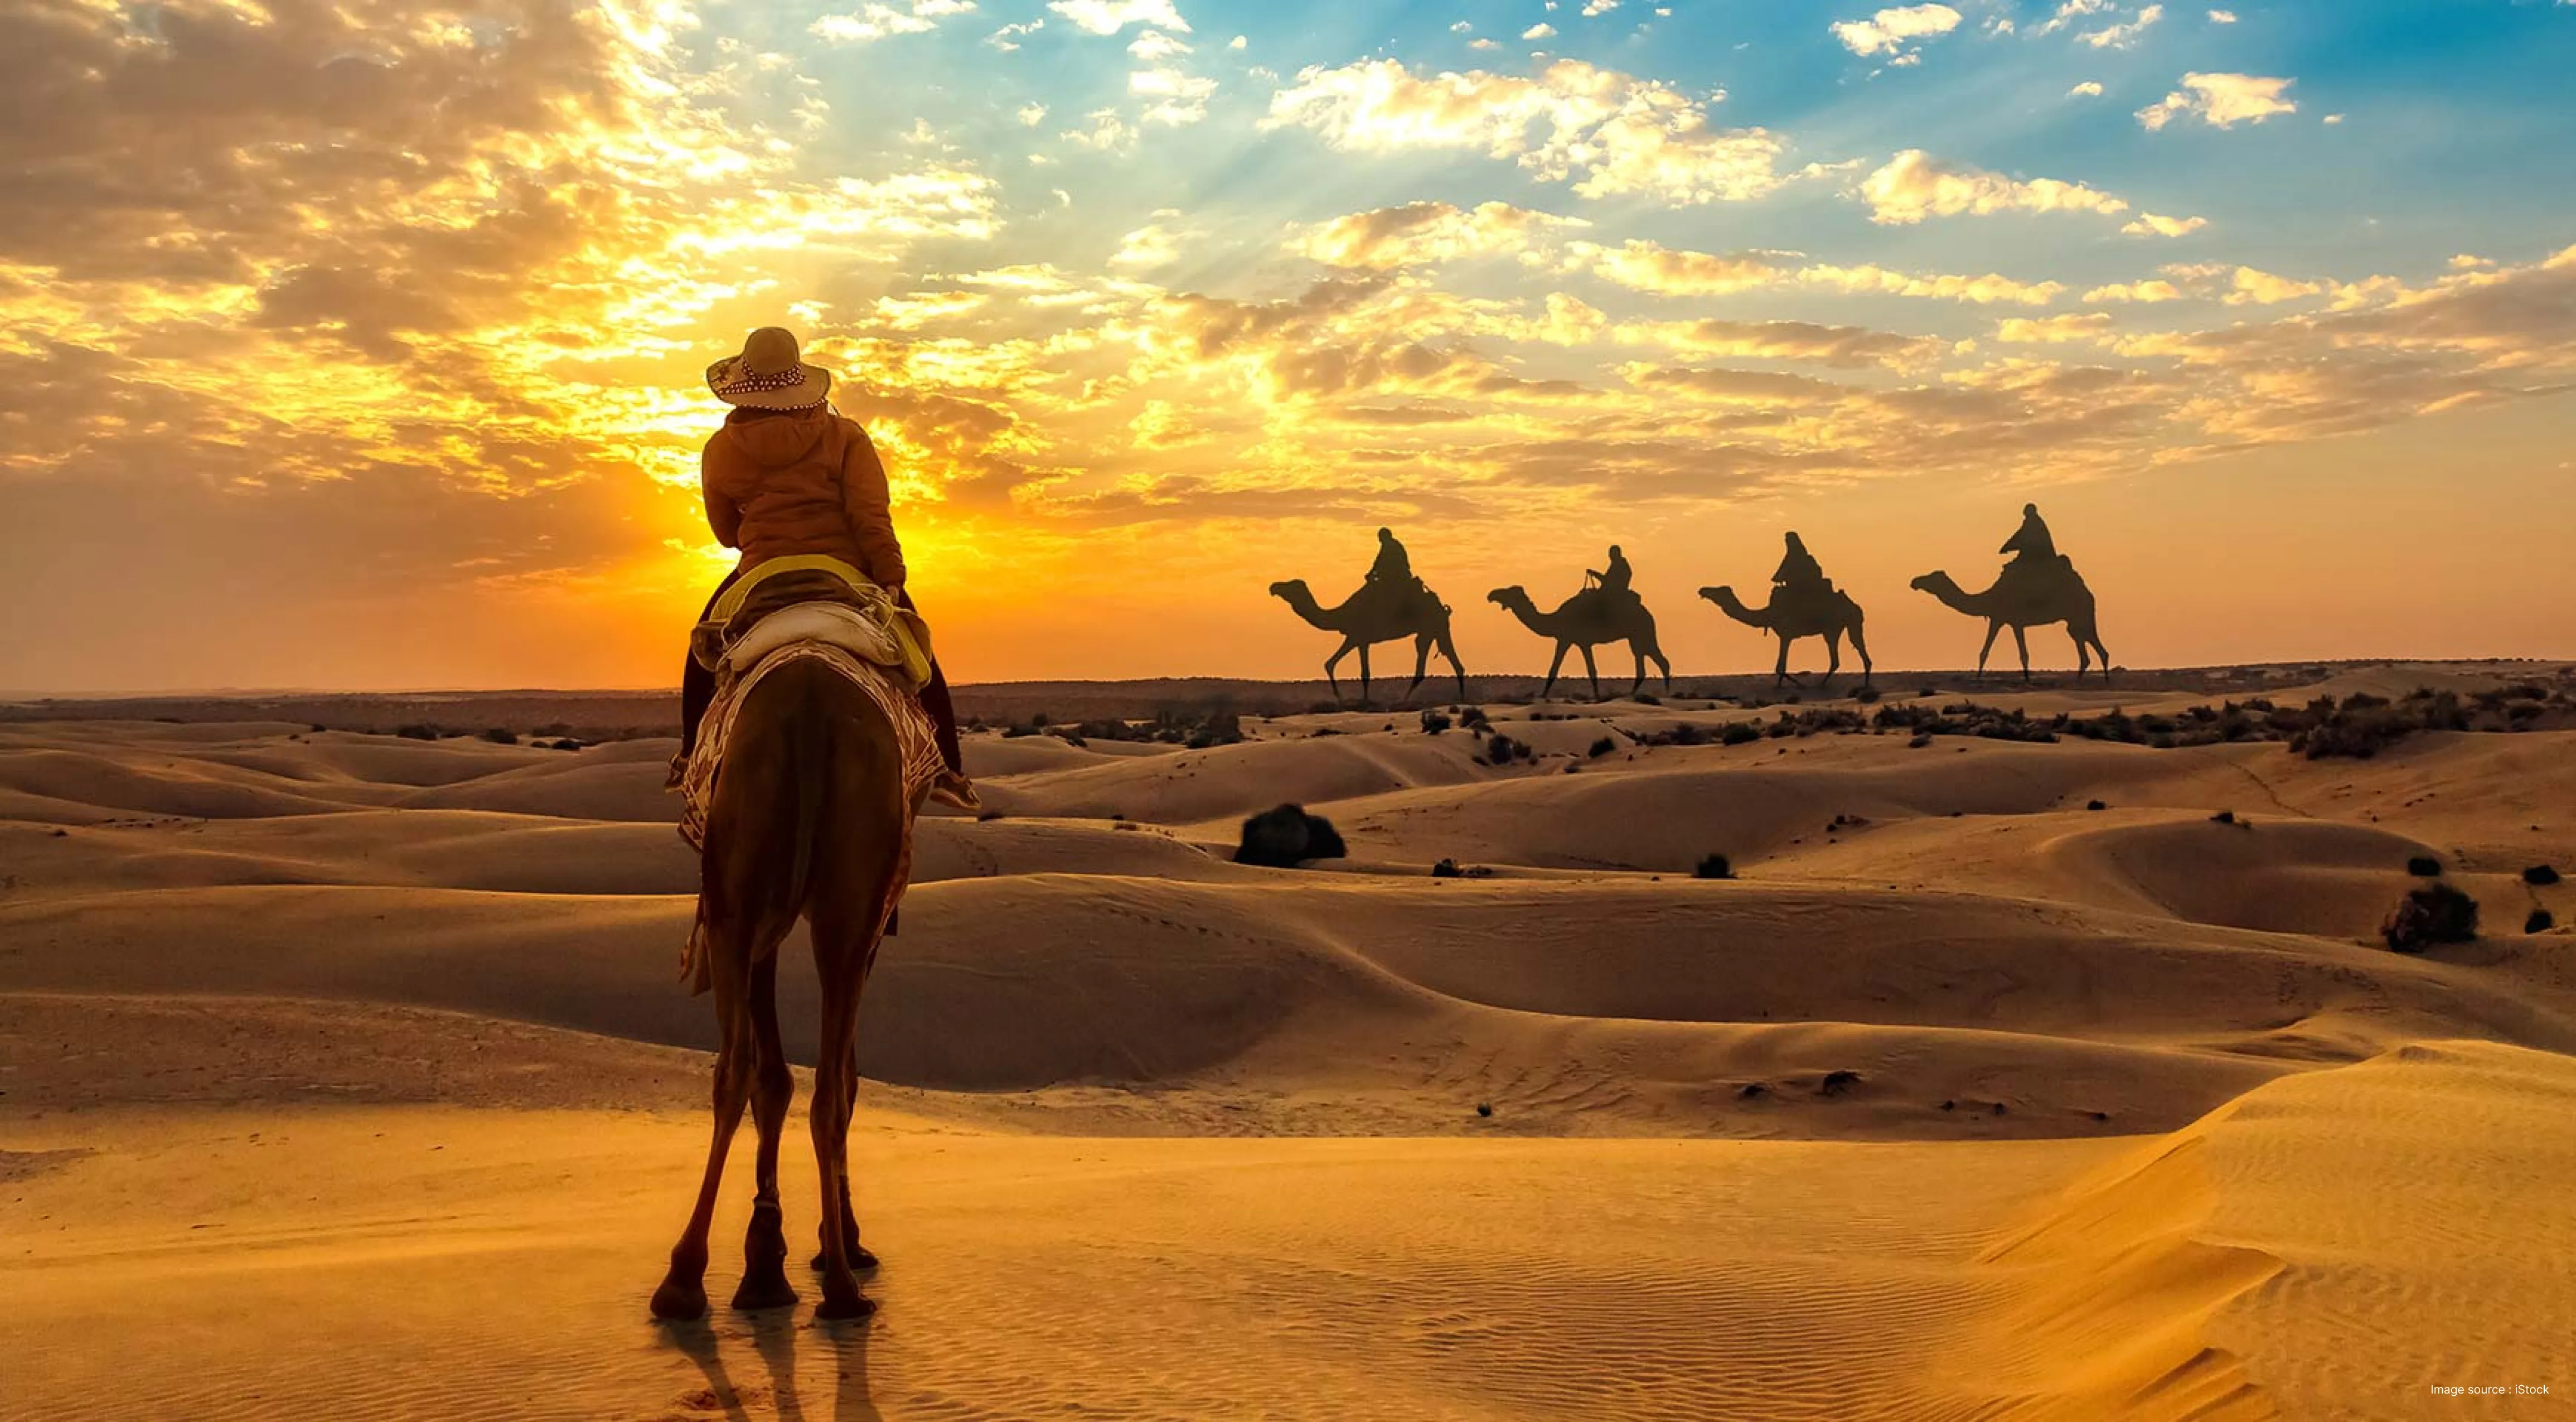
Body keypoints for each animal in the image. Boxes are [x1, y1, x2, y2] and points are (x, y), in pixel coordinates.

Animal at [650, 655, 914, 1325]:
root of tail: (810, 710)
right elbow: (811, 1077)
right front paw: (789, 1253)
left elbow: (776, 1075)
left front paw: (768, 1258)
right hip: (832, 903)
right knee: (816, 1085)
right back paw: (839, 1283)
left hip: (742, 900)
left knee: (739, 1069)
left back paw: (686, 1278)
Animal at [1269, 577, 1466, 705]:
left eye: (1291, 586)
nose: (1273, 587)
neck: (1341, 615)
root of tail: (1443, 607)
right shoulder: (1355, 638)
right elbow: (1330, 664)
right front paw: (1342, 698)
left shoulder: (1360, 638)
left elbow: (1365, 673)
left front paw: (1362, 701)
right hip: (1437, 630)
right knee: (1454, 662)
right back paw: (1462, 698)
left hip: (1429, 628)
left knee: (1426, 664)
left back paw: (1405, 700)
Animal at [1487, 585, 1673, 701]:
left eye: (1509, 592)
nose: (1491, 595)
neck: (1557, 620)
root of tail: (1649, 614)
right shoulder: (1568, 639)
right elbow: (1555, 669)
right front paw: (1543, 695)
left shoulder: (1578, 641)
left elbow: (1588, 671)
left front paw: (1597, 698)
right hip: (1636, 637)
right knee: (1646, 664)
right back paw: (1634, 694)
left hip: (1643, 633)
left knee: (1661, 662)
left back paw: (1664, 695)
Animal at [1699, 584, 1872, 689]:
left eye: (1719, 590)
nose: (1702, 590)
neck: (1768, 614)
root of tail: (1855, 606)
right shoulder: (1785, 636)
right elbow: (1780, 668)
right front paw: (1784, 686)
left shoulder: (1786, 635)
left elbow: (1779, 668)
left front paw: (1799, 685)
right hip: (1843, 626)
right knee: (1854, 651)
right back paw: (1864, 686)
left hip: (1835, 626)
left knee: (1841, 655)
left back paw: (1824, 685)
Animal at [1910, 563, 2111, 682]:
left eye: (1932, 577)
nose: (1914, 581)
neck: (1990, 598)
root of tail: (2089, 594)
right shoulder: (2003, 620)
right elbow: (1989, 652)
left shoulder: (2009, 620)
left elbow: (2017, 654)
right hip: (2074, 622)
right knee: (2086, 651)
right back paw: (2080, 681)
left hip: (2081, 615)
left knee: (2096, 649)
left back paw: (2102, 681)